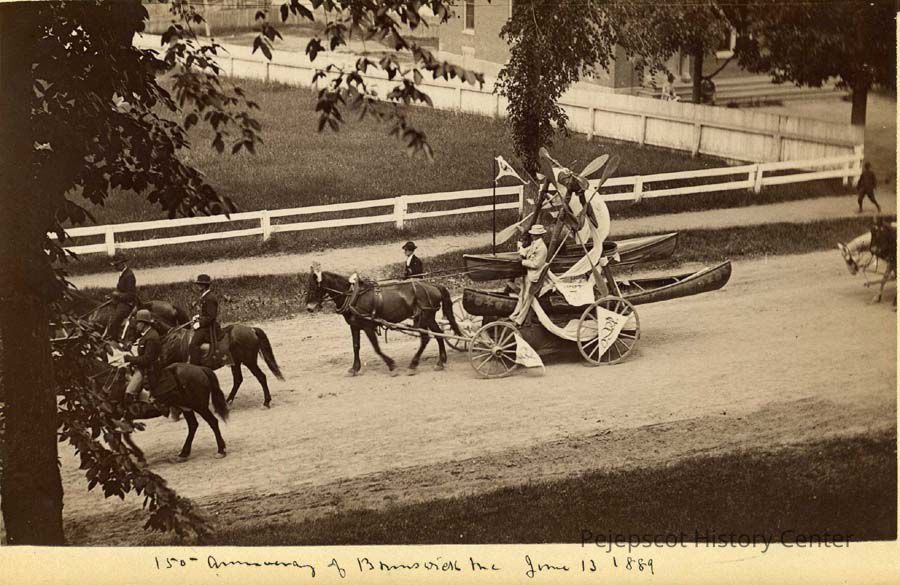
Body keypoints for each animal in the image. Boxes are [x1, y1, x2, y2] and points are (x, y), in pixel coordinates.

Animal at [142, 321, 284, 408]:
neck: (172, 340)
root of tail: (251, 329)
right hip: (236, 363)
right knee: (238, 379)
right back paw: (228, 401)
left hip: (249, 362)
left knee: (261, 377)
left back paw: (266, 402)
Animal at [305, 265, 463, 375]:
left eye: (314, 287)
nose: (309, 308)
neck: (353, 296)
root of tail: (433, 285)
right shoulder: (354, 326)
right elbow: (356, 346)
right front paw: (355, 368)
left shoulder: (368, 326)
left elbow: (376, 347)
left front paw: (391, 365)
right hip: (429, 317)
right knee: (439, 334)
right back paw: (440, 361)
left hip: (424, 317)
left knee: (425, 338)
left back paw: (413, 364)